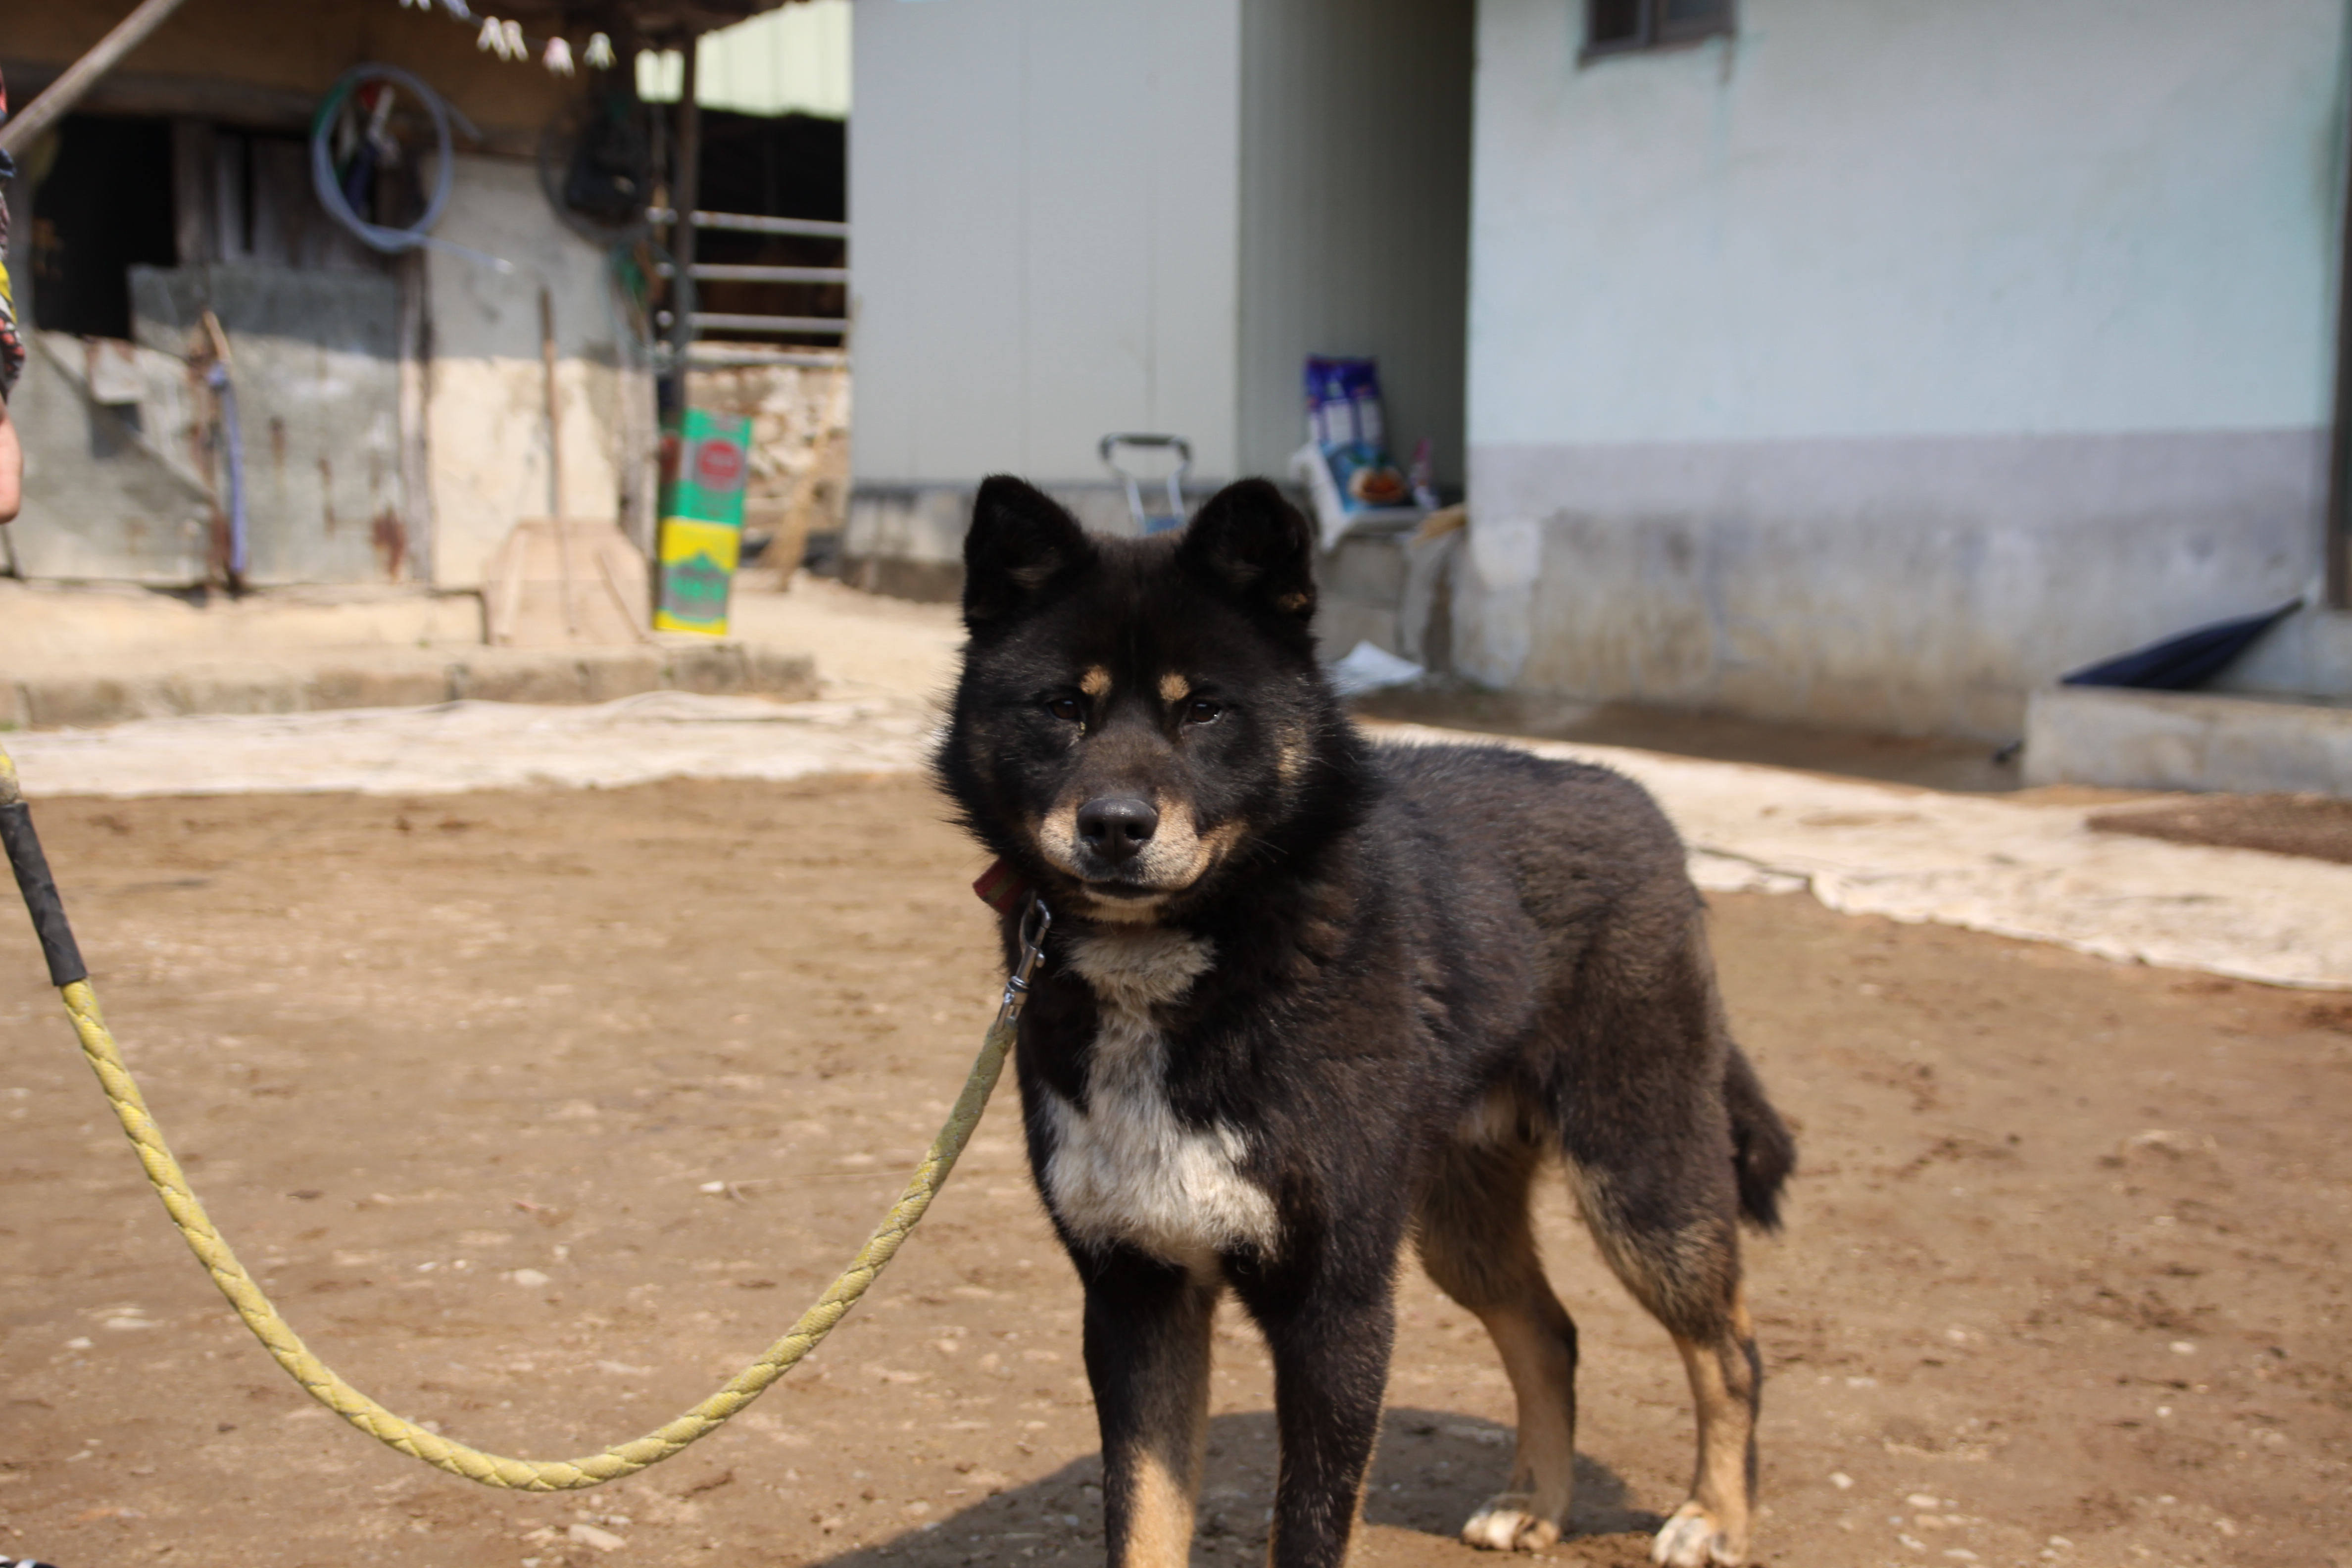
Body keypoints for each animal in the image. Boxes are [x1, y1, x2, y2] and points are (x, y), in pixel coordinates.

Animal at [935, 476, 1796, 1568]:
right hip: (1458, 1220)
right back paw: (1536, 1502)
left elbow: (1307, 1528)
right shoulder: (1138, 1292)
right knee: (1552, 1334)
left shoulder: (1336, 1308)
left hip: (1643, 1184)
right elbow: (1142, 1520)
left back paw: (1716, 1515)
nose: (1116, 827)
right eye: (1061, 707)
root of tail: (1642, 807)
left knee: (1733, 1349)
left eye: (1203, 708)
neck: (1190, 960)